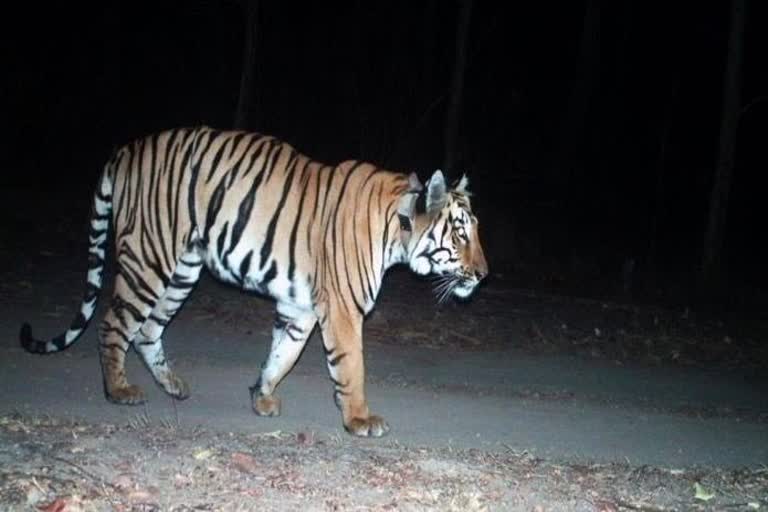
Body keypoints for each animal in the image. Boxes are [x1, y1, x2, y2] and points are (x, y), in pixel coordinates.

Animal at [21, 126, 488, 438]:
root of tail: (127, 149)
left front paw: (261, 396)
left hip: (182, 271)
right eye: (461, 233)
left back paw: (172, 385)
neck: (397, 231)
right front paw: (358, 418)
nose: (484, 274)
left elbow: (282, 354)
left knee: (147, 330)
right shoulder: (341, 309)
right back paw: (119, 389)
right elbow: (351, 364)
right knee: (114, 324)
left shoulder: (301, 307)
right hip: (148, 258)